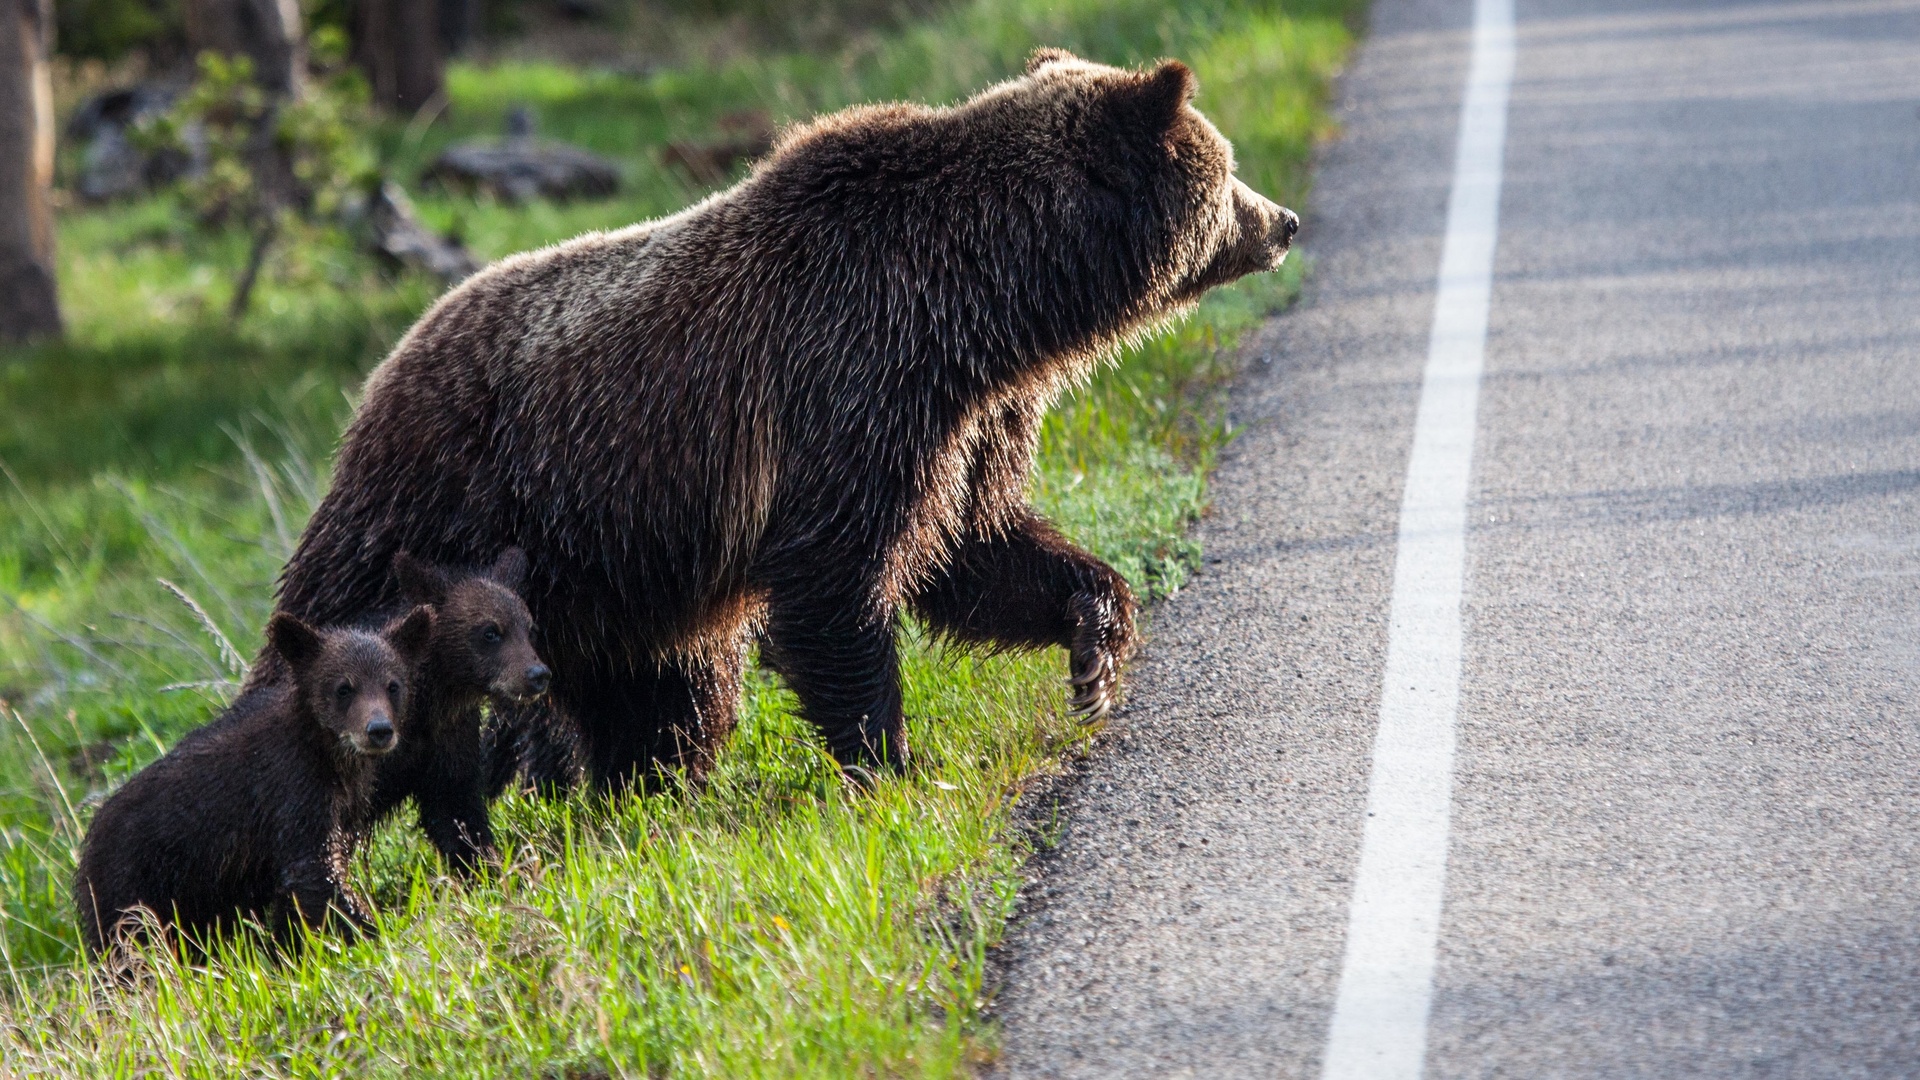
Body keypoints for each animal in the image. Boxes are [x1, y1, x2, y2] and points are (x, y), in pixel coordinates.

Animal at [263, 48, 1297, 791]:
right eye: (1227, 172)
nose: (1283, 221)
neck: (988, 306)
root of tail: (381, 373)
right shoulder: (851, 385)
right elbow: (837, 584)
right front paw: (891, 760)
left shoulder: (970, 418)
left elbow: (974, 546)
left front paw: (1094, 647)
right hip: (449, 507)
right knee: (325, 629)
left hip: (612, 585)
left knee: (672, 700)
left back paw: (650, 791)